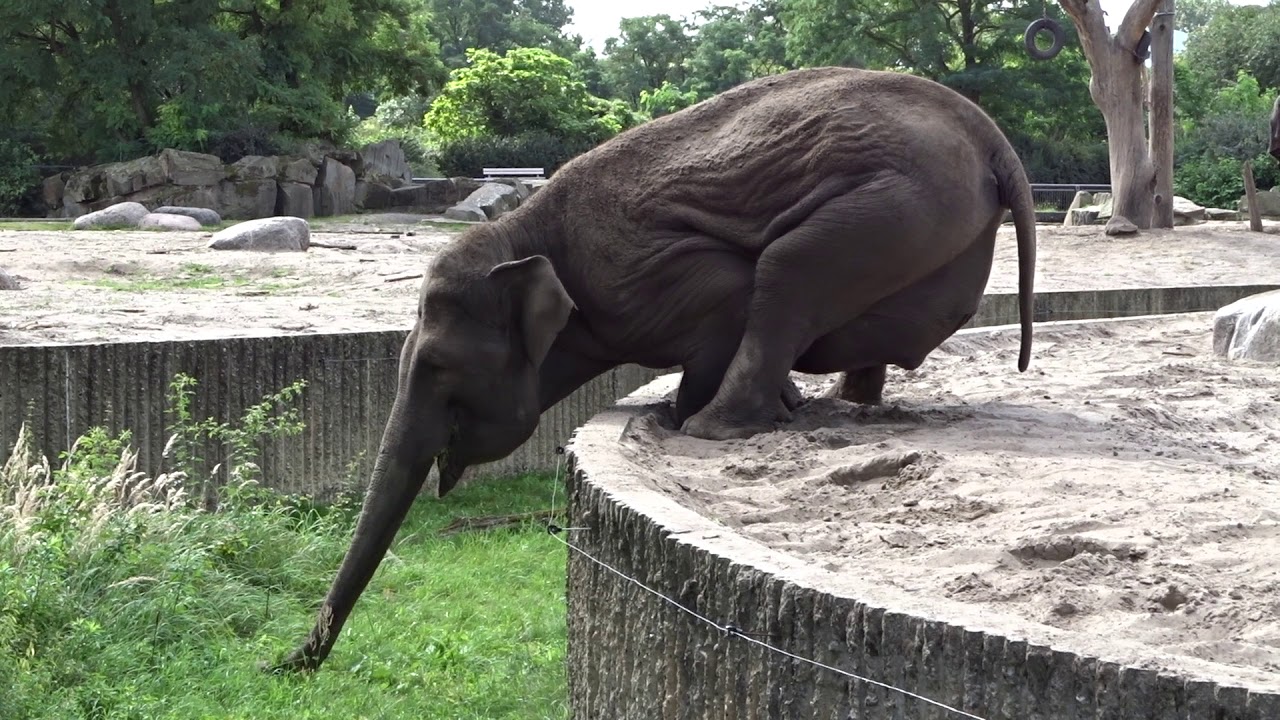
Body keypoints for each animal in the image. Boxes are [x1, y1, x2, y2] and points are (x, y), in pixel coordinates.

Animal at [271, 66, 1037, 672]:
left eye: (435, 365)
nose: (286, 664)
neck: (524, 234)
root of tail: (992, 138)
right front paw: (789, 407)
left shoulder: (640, 270)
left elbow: (732, 295)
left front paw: (684, 415)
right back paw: (843, 407)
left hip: (892, 207)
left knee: (784, 271)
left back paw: (705, 428)